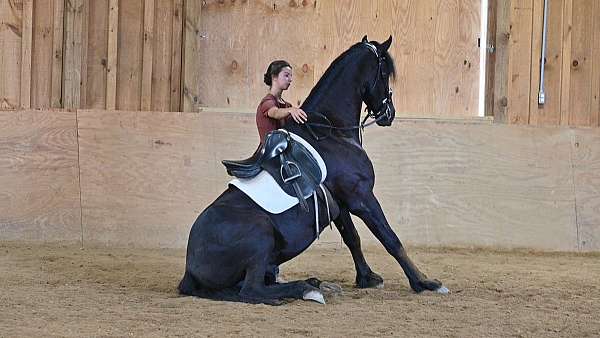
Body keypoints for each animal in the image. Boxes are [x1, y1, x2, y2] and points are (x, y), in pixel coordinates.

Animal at [177, 35, 446, 304]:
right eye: (384, 74)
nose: (388, 113)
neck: (330, 132)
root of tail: (190, 268)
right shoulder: (361, 197)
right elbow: (390, 238)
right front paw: (424, 282)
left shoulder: (340, 204)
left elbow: (353, 237)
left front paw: (366, 277)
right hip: (260, 233)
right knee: (252, 290)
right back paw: (308, 288)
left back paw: (316, 283)